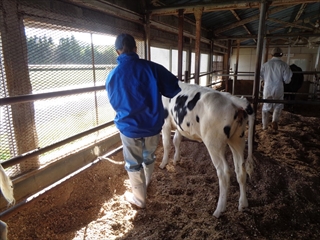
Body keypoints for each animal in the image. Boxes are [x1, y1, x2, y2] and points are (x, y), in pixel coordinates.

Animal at [160, 81, 255, 218]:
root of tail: (234, 100)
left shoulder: (165, 123)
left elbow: (166, 143)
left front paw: (163, 163)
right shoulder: (179, 125)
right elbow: (177, 140)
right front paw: (176, 160)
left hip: (214, 144)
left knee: (224, 173)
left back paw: (219, 210)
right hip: (238, 139)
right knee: (240, 170)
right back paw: (243, 204)